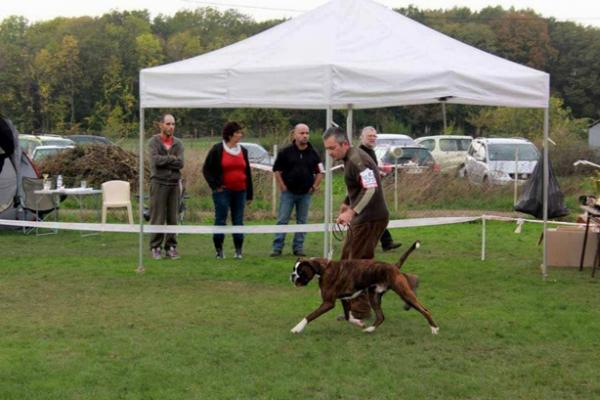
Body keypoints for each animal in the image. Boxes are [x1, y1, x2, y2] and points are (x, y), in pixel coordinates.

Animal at [288, 241, 438, 334]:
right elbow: (348, 316)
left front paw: (297, 328)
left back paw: (434, 329)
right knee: (381, 317)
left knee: (425, 310)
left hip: (403, 292)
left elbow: (310, 316)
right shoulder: (345, 299)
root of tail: (394, 266)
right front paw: (359, 323)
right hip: (374, 296)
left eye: (301, 271)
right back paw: (369, 330)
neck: (323, 269)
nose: (292, 276)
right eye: (293, 269)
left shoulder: (328, 303)